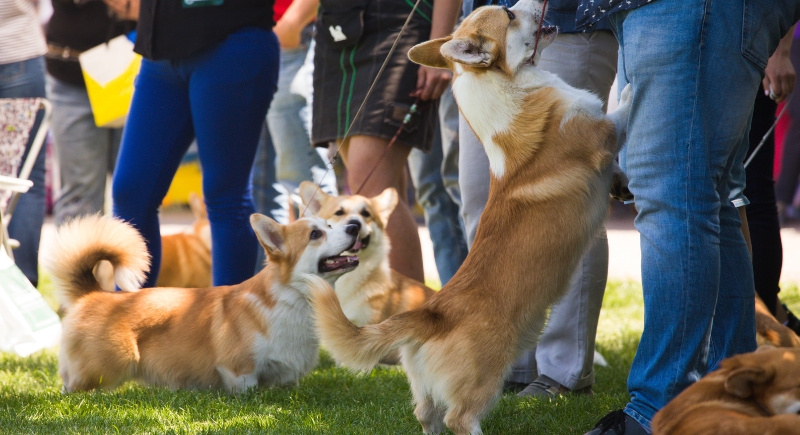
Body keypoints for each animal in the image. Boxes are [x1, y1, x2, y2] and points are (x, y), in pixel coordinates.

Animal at [43, 213, 359, 392]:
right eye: (316, 234)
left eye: (329, 224)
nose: (355, 226)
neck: (292, 300)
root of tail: (93, 294)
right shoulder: (238, 369)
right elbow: (247, 388)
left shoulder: (285, 377)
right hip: (113, 363)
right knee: (73, 386)